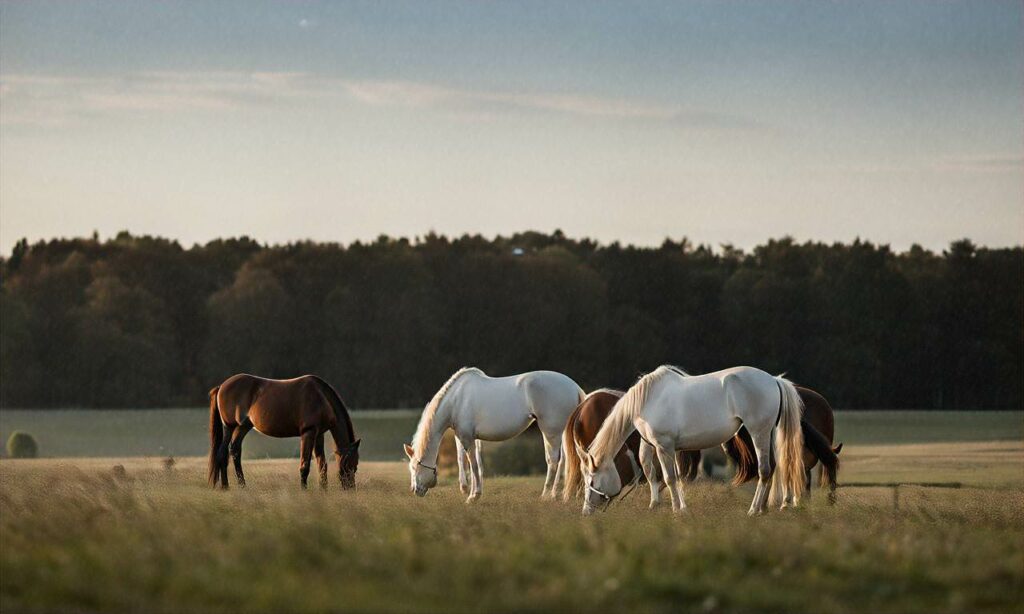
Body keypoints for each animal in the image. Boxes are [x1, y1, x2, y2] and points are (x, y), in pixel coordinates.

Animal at [206, 374, 360, 489]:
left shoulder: (318, 434)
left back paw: (242, 486)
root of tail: (222, 386)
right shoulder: (308, 433)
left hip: (243, 426)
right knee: (222, 453)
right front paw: (304, 492)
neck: (321, 397)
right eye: (352, 465)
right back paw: (226, 486)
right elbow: (304, 466)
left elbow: (322, 464)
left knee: (235, 451)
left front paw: (323, 491)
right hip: (229, 426)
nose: (350, 489)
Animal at [405, 366, 585, 501]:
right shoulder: (471, 438)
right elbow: (472, 462)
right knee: (565, 461)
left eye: (414, 467)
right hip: (560, 434)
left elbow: (473, 464)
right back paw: (558, 494)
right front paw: (470, 490)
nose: (415, 490)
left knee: (553, 460)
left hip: (551, 432)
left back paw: (546, 495)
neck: (456, 399)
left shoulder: (467, 438)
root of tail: (574, 387)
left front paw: (473, 496)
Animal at [581, 366, 802, 515]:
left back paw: (754, 510)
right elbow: (660, 474)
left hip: (759, 433)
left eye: (591, 480)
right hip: (768, 434)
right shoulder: (658, 446)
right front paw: (665, 506)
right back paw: (764, 509)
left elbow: (669, 478)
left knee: (764, 470)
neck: (648, 400)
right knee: (773, 468)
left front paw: (677, 511)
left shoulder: (664, 446)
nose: (586, 511)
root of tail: (773, 380)